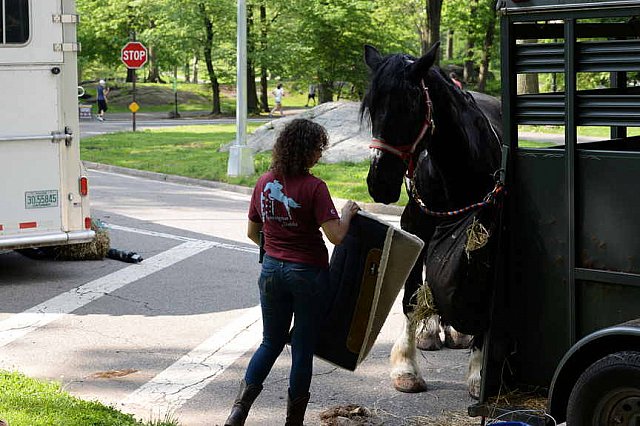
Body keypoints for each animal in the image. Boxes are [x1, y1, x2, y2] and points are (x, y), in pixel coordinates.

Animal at [360, 42, 504, 396]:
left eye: (410, 106)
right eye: (371, 107)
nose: (379, 182)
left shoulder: (486, 236)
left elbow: (481, 299)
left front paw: (478, 371)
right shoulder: (418, 229)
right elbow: (413, 297)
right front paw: (406, 367)